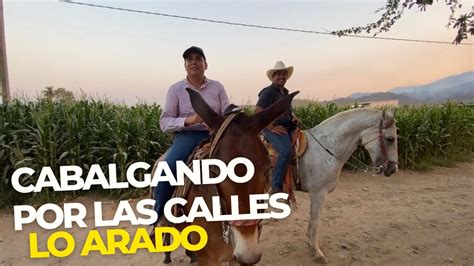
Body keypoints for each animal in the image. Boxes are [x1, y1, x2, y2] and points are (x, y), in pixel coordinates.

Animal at [298, 107, 398, 262]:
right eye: (390, 139)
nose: (392, 169)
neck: (326, 148)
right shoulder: (318, 193)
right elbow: (316, 219)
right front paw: (316, 251)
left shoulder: (315, 195)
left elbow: (312, 217)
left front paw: (309, 242)